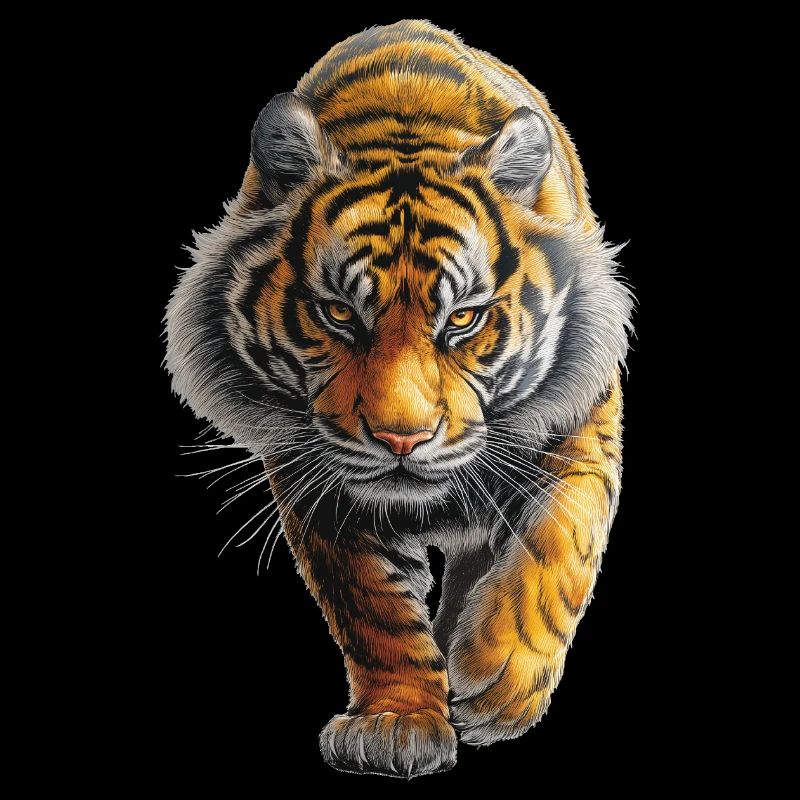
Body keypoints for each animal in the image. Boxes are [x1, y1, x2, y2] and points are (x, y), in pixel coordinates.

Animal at [165, 19, 633, 778]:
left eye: (463, 319)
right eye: (339, 315)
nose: (401, 439)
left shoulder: (582, 432)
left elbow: (558, 545)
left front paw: (500, 681)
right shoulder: (315, 474)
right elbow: (374, 607)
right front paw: (396, 722)